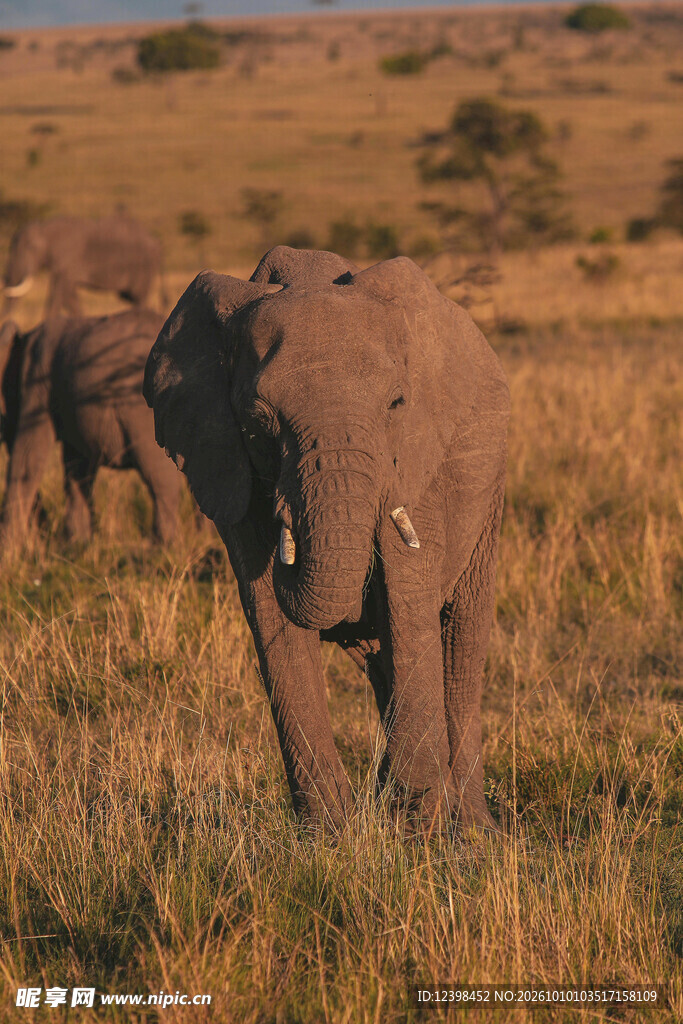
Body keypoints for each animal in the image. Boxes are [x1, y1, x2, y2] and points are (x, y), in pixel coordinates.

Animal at [0, 309, 181, 553]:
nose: (45, 534)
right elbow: (77, 465)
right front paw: (78, 546)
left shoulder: (37, 382)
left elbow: (29, 454)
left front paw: (8, 551)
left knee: (160, 478)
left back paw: (163, 549)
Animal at [3, 215, 165, 319]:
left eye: (31, 248)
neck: (45, 227)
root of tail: (157, 243)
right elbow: (69, 295)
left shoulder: (68, 260)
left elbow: (59, 293)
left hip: (143, 267)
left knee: (139, 297)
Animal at [144, 246, 510, 832]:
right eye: (258, 420)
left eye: (396, 404)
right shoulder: (227, 466)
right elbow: (270, 616)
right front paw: (332, 832)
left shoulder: (417, 461)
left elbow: (409, 603)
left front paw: (418, 822)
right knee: (376, 656)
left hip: (490, 487)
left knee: (459, 640)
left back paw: (470, 830)